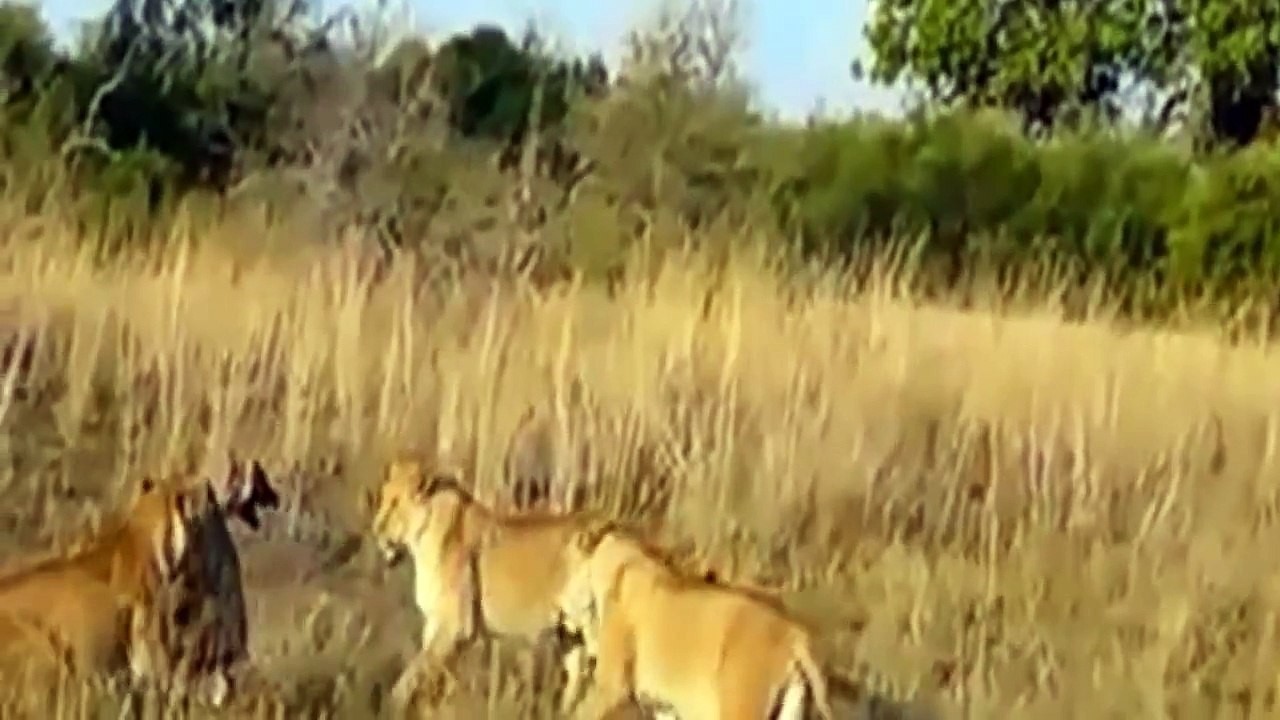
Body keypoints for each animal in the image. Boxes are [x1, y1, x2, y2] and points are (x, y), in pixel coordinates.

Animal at [370, 457, 606, 712]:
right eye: (383, 498)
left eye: (395, 503)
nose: (376, 530)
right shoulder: (436, 623)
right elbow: (434, 677)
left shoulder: (456, 625)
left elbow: (413, 674)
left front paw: (392, 705)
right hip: (572, 633)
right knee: (578, 680)